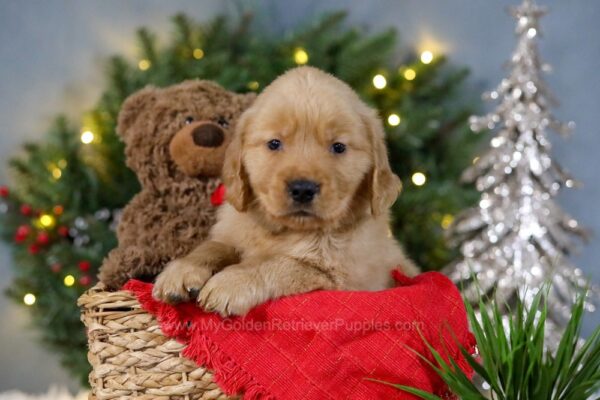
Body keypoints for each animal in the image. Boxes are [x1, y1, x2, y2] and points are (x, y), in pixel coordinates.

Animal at [152, 66, 420, 316]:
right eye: (274, 143)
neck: (287, 231)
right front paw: (182, 269)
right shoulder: (234, 232)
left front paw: (231, 281)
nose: (302, 189)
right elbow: (215, 246)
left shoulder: (343, 279)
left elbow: (281, 262)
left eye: (338, 147)